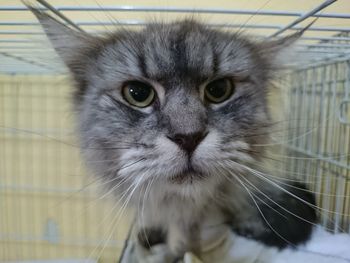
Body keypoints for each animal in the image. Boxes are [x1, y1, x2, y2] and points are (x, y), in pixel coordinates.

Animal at [29, 5, 318, 262]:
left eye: (219, 90)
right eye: (138, 94)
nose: (188, 137)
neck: (173, 205)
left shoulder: (195, 216)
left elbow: (184, 242)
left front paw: (174, 253)